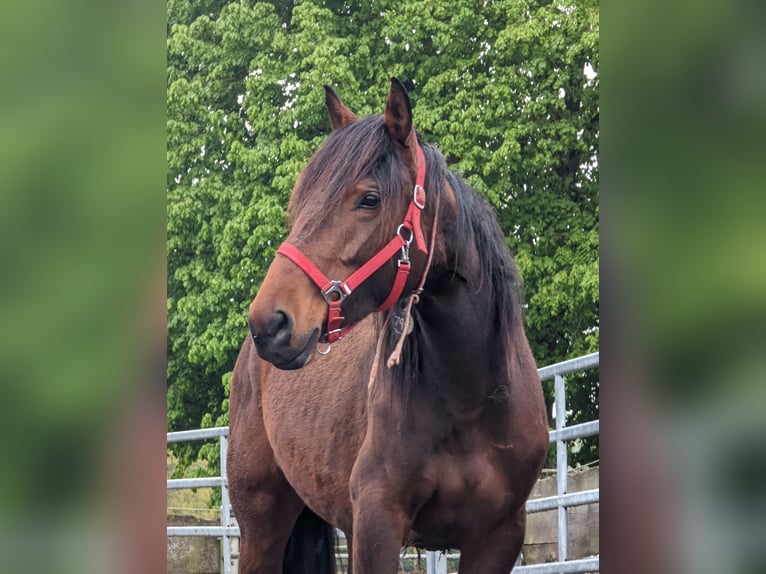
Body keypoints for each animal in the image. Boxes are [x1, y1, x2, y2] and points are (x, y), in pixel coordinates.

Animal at [228, 77, 552, 574]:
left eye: (369, 199)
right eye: (300, 203)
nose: (269, 322)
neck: (470, 400)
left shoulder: (499, 537)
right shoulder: (377, 525)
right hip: (261, 524)